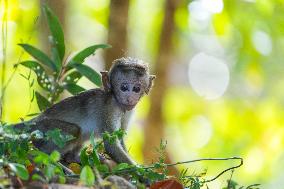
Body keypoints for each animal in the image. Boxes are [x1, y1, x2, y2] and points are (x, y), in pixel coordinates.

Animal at [13, 56, 155, 166]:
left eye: (136, 89)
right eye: (124, 87)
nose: (129, 98)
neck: (118, 102)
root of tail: (35, 120)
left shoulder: (129, 111)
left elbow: (119, 139)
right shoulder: (110, 109)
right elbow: (111, 145)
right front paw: (142, 173)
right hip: (43, 127)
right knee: (74, 131)